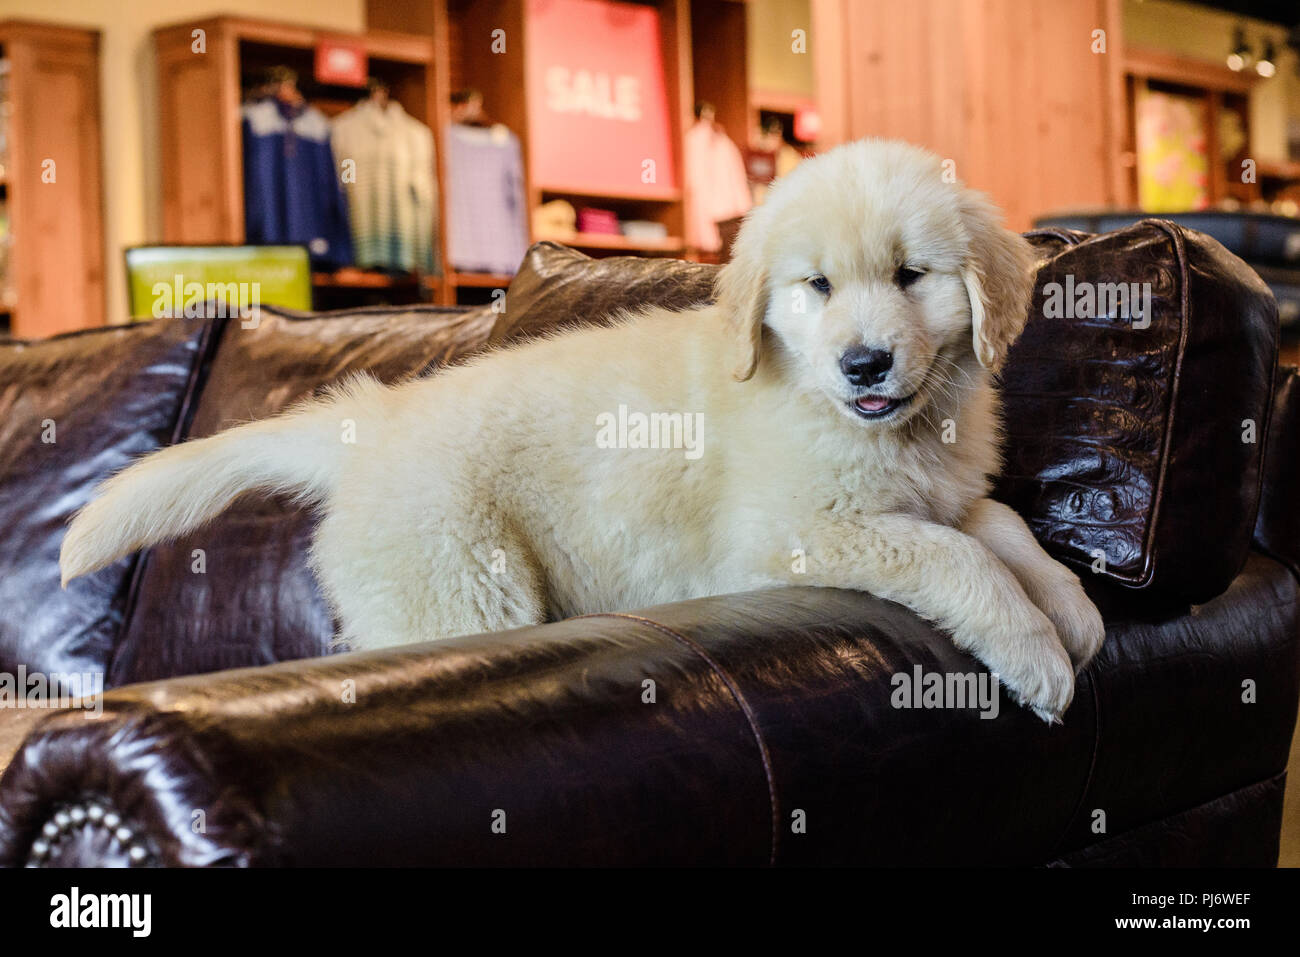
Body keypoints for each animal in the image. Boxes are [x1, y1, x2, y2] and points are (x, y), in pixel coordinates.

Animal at [58, 138, 1097, 722]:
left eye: (912, 275)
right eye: (819, 287)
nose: (865, 364)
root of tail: (381, 416)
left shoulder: (944, 492)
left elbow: (1000, 526)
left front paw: (1076, 609)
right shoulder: (794, 535)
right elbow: (952, 557)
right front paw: (1039, 655)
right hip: (465, 589)